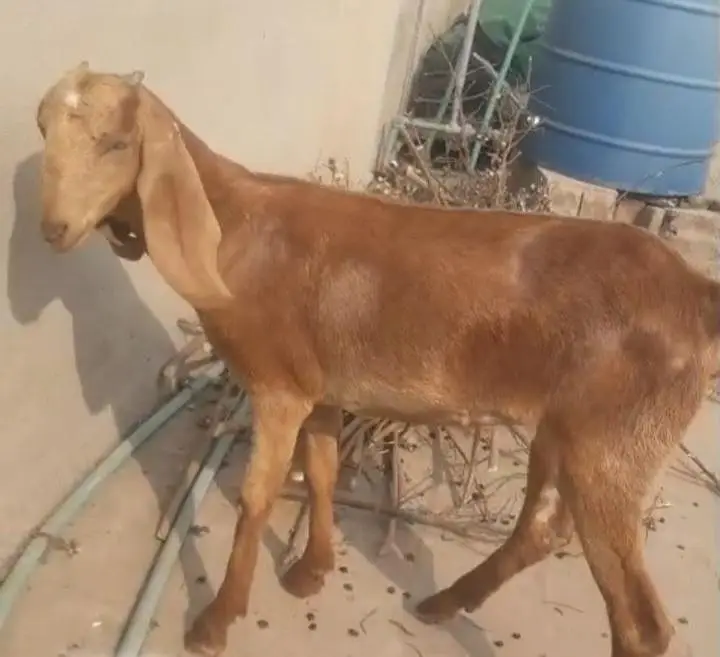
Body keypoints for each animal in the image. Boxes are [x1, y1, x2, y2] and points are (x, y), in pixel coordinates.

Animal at [35, 62, 718, 657]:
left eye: (117, 142)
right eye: (44, 132)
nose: (54, 229)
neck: (233, 228)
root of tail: (693, 292)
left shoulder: (277, 386)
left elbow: (258, 497)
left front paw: (215, 622)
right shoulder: (319, 385)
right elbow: (322, 470)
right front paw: (310, 571)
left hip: (615, 443)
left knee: (642, 622)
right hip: (569, 430)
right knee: (542, 527)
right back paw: (443, 603)